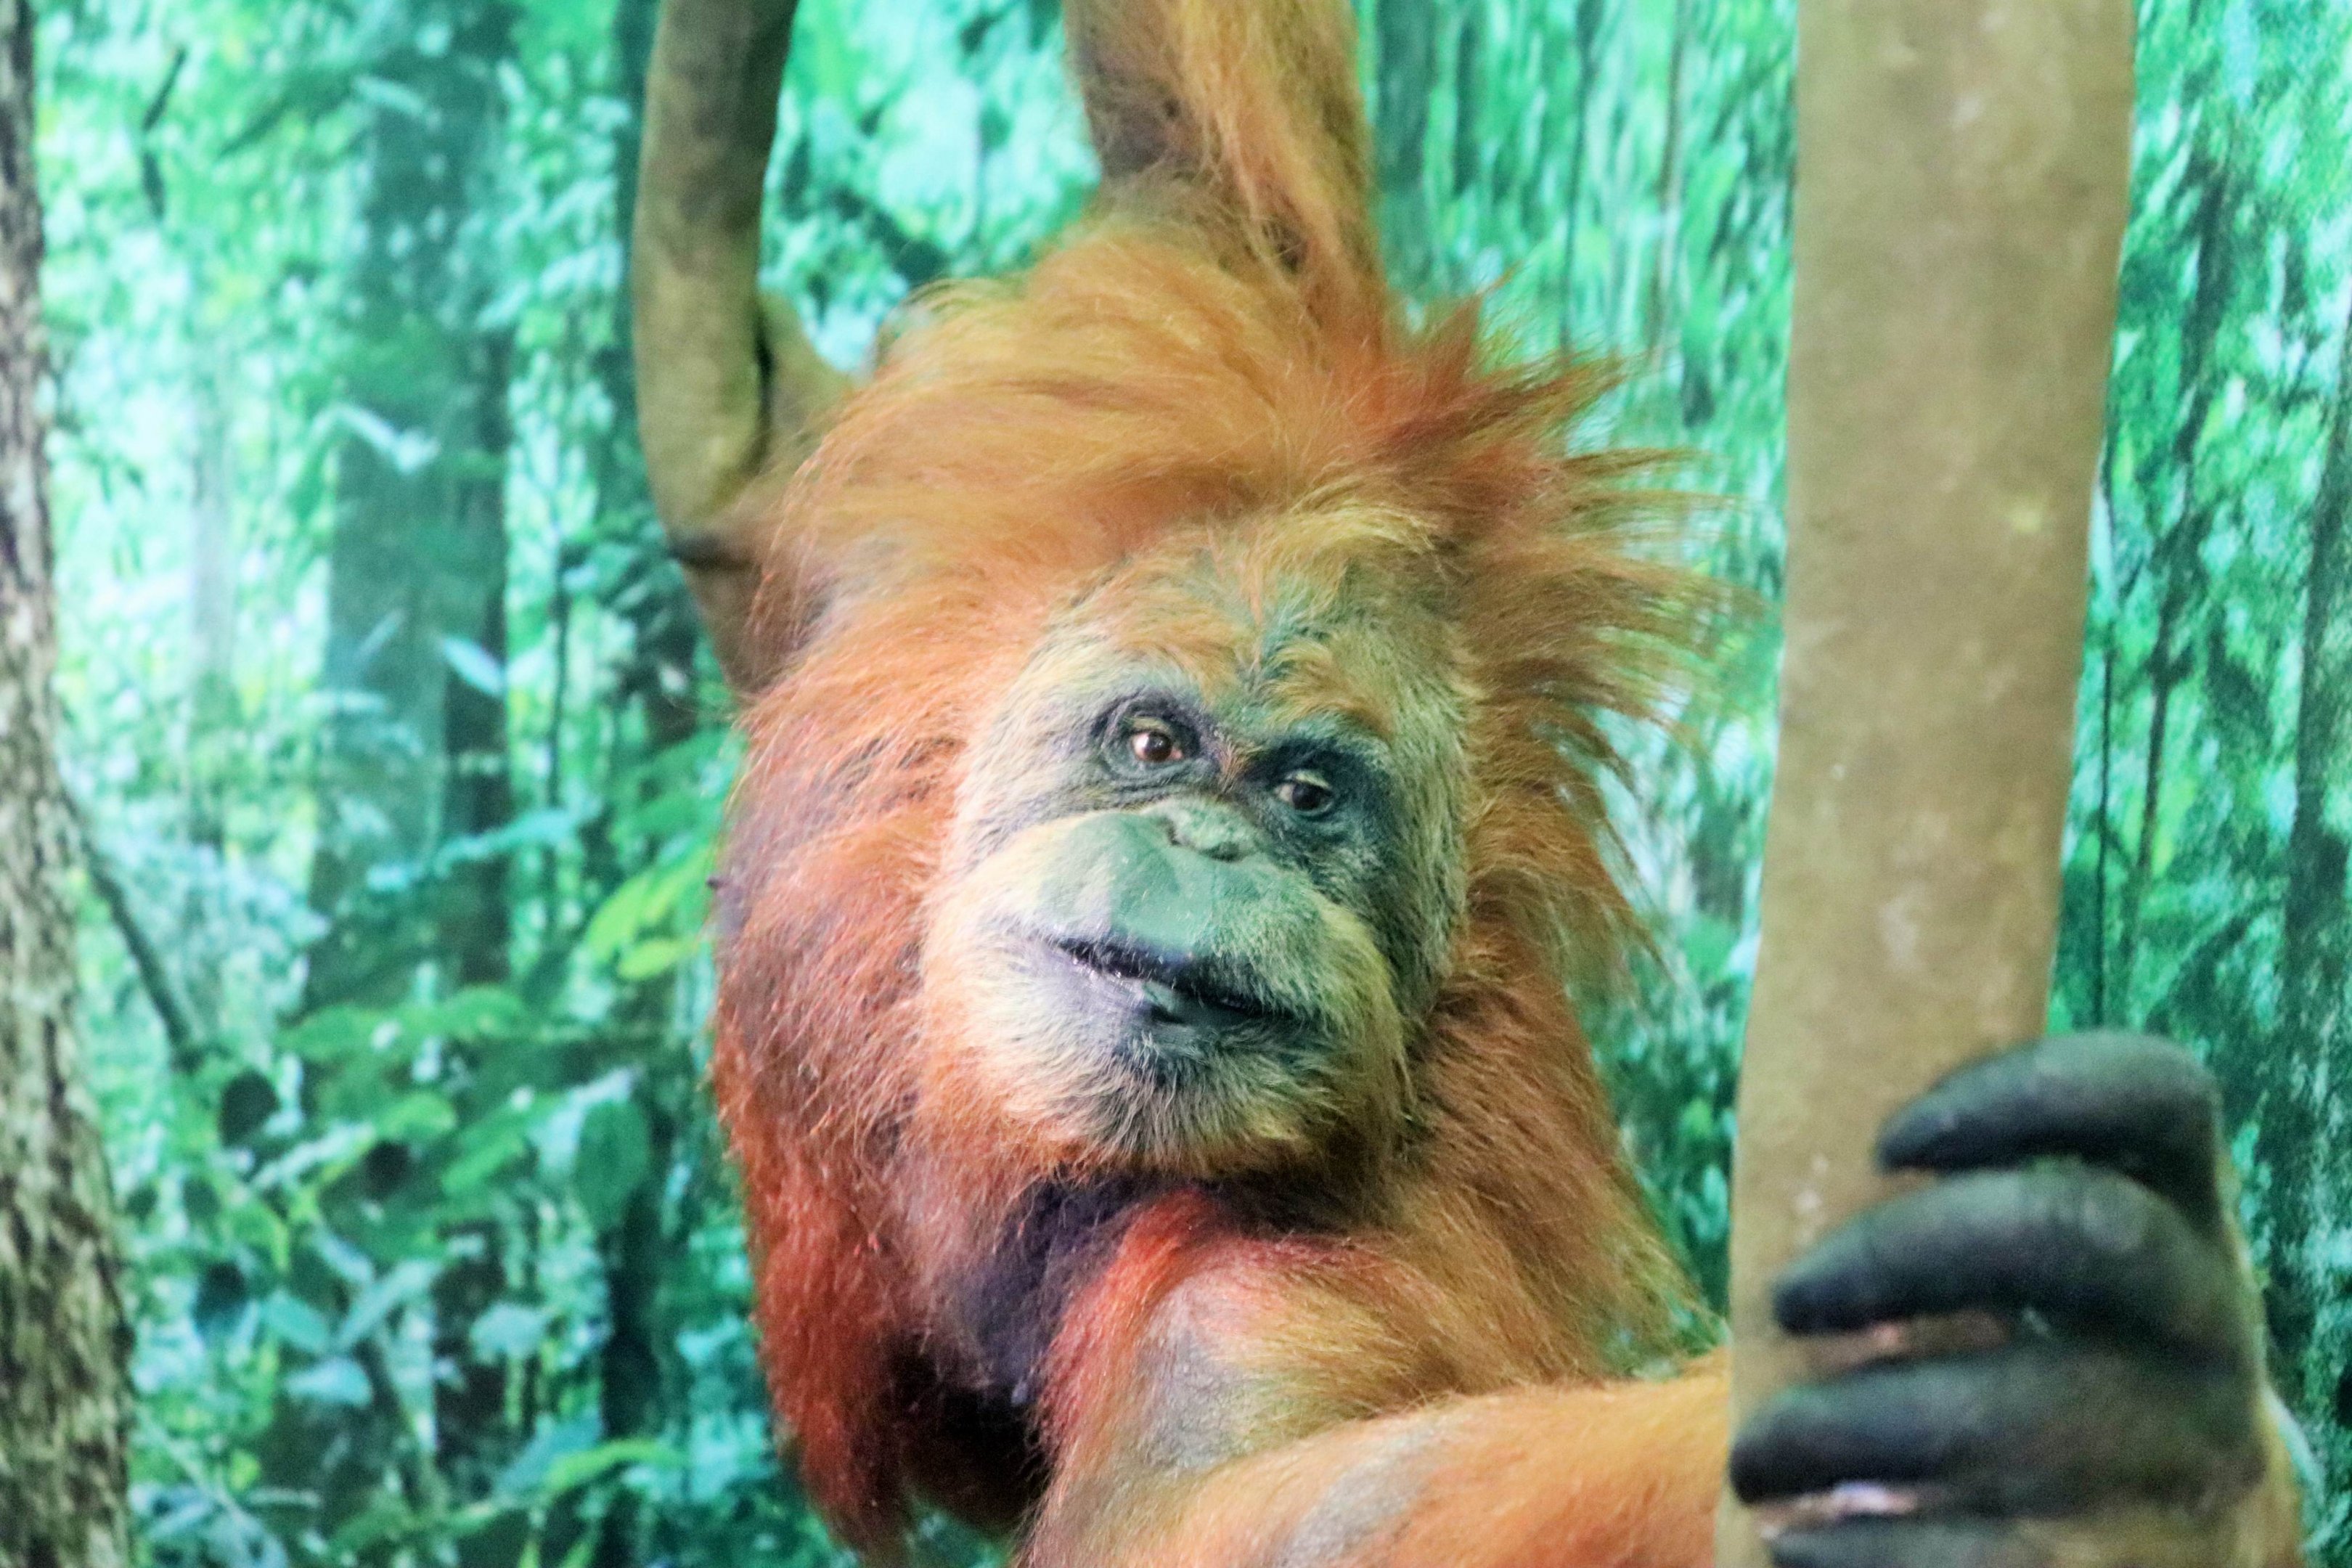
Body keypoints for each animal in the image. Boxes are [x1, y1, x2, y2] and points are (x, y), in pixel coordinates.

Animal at [695, 0, 2307, 1563]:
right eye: (1152, 747)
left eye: (1308, 798)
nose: (1215, 849)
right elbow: (1231, 186)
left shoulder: (1284, 1301)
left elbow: (1275, 1512)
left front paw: (2133, 1428)